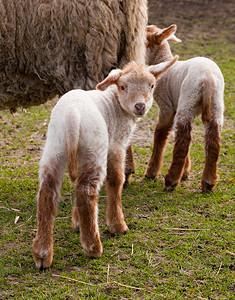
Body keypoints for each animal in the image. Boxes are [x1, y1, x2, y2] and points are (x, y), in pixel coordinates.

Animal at [31, 56, 178, 270]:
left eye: (151, 85)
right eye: (123, 86)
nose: (140, 106)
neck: (115, 102)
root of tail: (72, 116)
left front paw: (77, 223)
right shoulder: (117, 145)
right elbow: (116, 179)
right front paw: (117, 225)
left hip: (55, 147)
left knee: (48, 193)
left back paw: (42, 254)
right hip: (95, 147)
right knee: (86, 192)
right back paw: (93, 247)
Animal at [145, 24, 224, 191]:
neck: (165, 62)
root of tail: (208, 80)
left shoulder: (166, 106)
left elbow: (160, 133)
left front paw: (151, 172)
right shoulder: (176, 104)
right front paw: (186, 172)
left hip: (188, 97)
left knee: (184, 138)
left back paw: (171, 180)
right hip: (215, 103)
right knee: (212, 137)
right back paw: (208, 182)